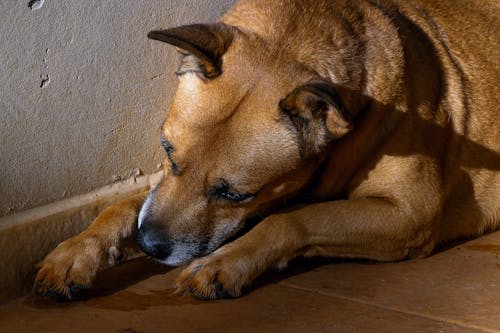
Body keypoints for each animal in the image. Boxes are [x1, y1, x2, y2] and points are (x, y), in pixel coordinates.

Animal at [35, 0, 500, 300]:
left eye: (234, 194)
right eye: (167, 152)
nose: (148, 245)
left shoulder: (410, 213)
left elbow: (295, 219)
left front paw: (227, 261)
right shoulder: (162, 189)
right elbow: (122, 206)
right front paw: (78, 252)